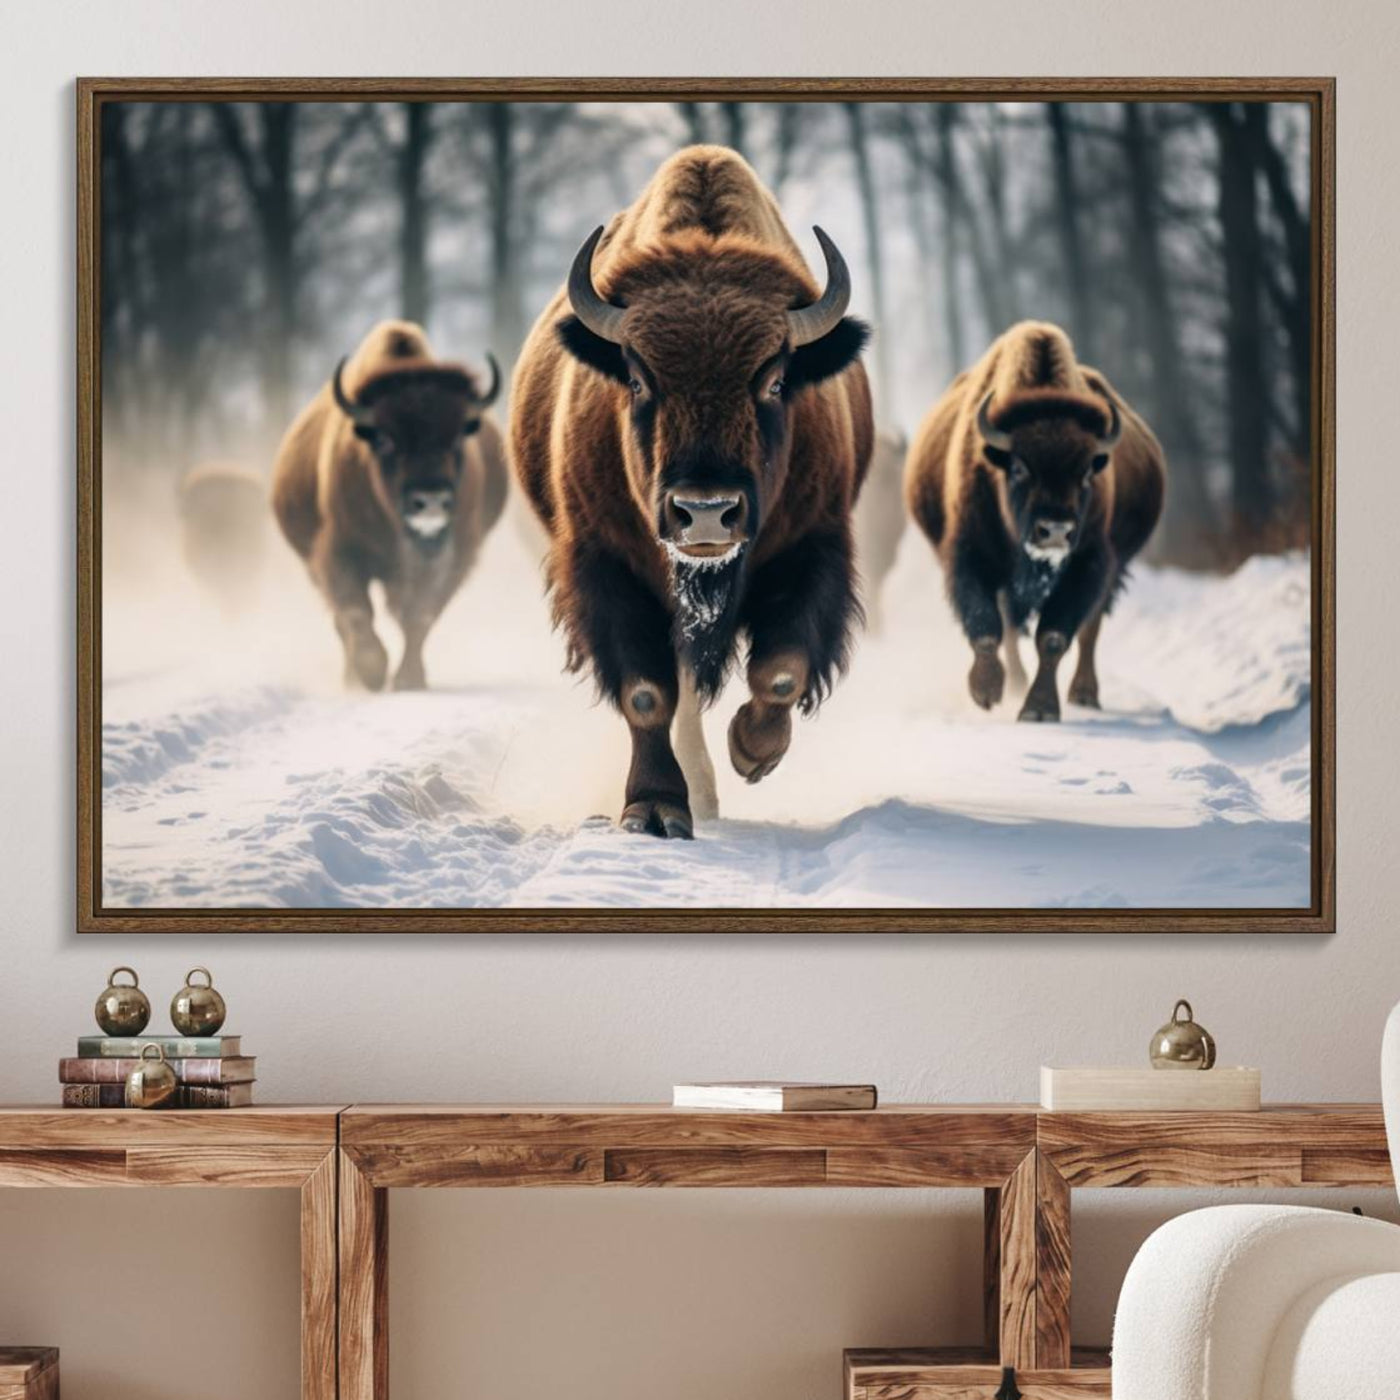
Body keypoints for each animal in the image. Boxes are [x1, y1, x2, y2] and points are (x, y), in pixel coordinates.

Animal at [271, 320, 507, 691]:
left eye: (457, 436)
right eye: (384, 438)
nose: (430, 501)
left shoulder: (454, 556)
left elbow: (420, 616)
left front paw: (409, 679)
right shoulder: (338, 550)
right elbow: (356, 611)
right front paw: (371, 672)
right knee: (342, 620)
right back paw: (352, 677)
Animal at [510, 145, 874, 838]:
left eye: (776, 380)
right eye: (635, 378)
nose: (706, 513)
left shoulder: (814, 546)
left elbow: (781, 671)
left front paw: (752, 752)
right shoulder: (608, 563)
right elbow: (647, 693)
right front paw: (654, 808)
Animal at [904, 321, 1165, 721]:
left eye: (1087, 472)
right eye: (1019, 467)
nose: (1055, 531)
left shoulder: (1089, 563)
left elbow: (1054, 637)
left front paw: (1039, 709)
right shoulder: (972, 555)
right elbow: (986, 626)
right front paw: (986, 691)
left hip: (1112, 569)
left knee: (1090, 629)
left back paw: (1084, 694)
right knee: (1011, 626)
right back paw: (1014, 683)